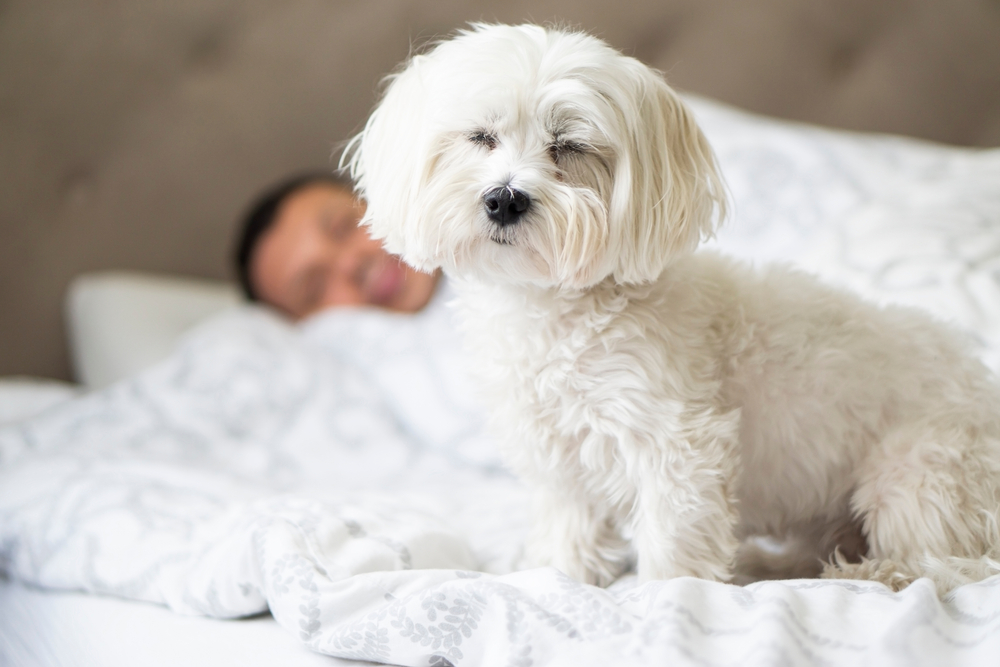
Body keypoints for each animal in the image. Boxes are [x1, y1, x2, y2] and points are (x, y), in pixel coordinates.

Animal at [346, 23, 1000, 592]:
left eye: (569, 147)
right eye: (480, 137)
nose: (505, 199)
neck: (557, 305)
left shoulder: (677, 444)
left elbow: (673, 545)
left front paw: (666, 599)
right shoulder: (562, 461)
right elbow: (569, 536)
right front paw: (562, 580)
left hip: (919, 474)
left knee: (947, 563)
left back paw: (866, 574)